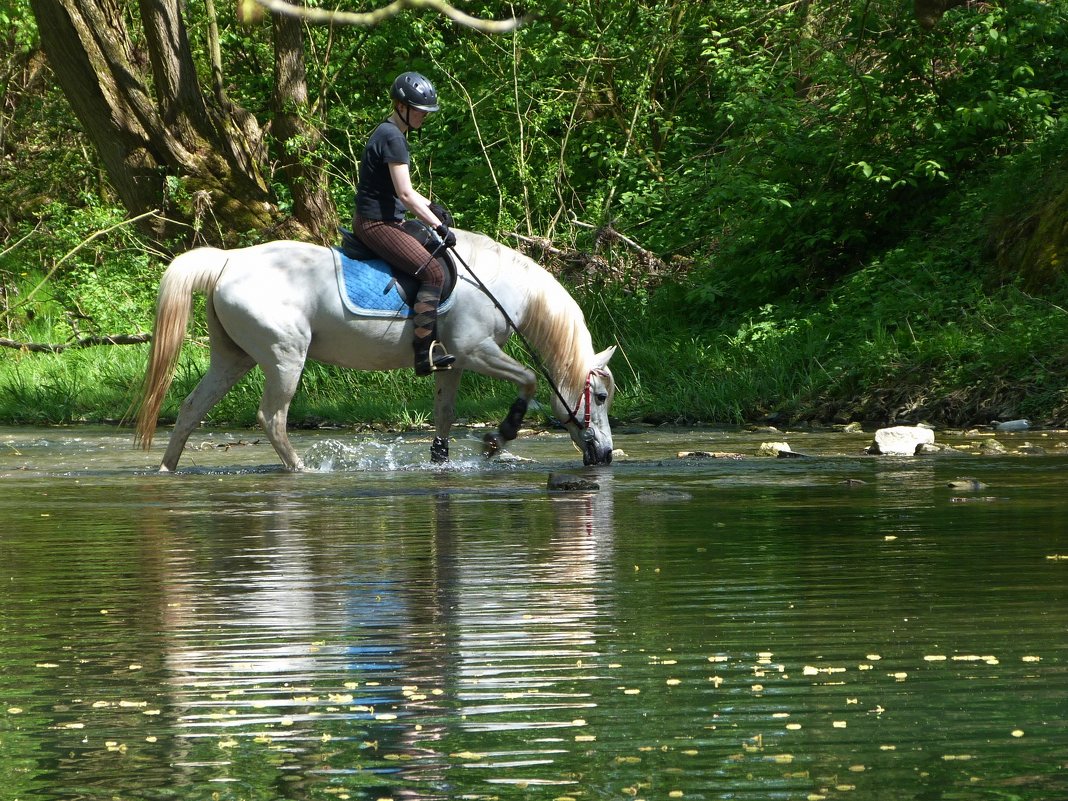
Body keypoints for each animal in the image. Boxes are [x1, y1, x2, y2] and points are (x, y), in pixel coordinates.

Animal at [133, 228, 619, 474]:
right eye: (600, 397)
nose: (606, 456)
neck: (497, 283)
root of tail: (228, 261)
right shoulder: (476, 351)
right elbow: (530, 379)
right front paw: (497, 437)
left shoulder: (453, 362)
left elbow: (444, 414)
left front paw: (442, 461)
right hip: (284, 358)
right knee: (272, 417)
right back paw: (302, 470)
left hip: (233, 358)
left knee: (192, 408)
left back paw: (167, 469)